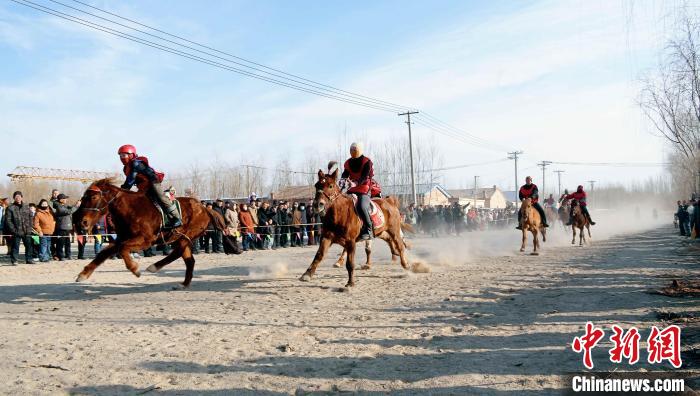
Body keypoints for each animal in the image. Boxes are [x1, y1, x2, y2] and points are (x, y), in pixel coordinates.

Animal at [72, 179, 224, 288]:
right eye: (83, 197)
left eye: (93, 197)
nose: (82, 222)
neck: (131, 209)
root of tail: (205, 208)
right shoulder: (122, 238)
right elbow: (104, 253)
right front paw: (83, 274)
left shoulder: (146, 240)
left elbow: (123, 248)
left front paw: (134, 269)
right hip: (181, 238)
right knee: (189, 260)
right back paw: (184, 284)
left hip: (185, 237)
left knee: (177, 254)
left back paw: (154, 267)